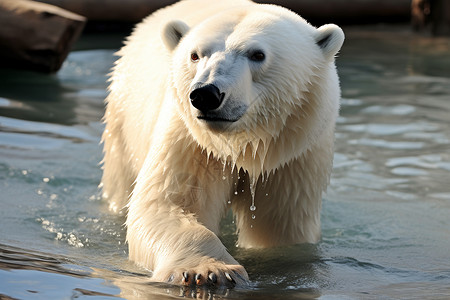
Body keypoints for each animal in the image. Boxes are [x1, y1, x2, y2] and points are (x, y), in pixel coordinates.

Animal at [100, 0, 342, 288]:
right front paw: (209, 270)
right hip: (123, 119)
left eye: (257, 54)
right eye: (195, 55)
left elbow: (278, 224)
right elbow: (167, 204)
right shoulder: (192, 141)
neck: (242, 143)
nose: (206, 94)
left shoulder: (293, 155)